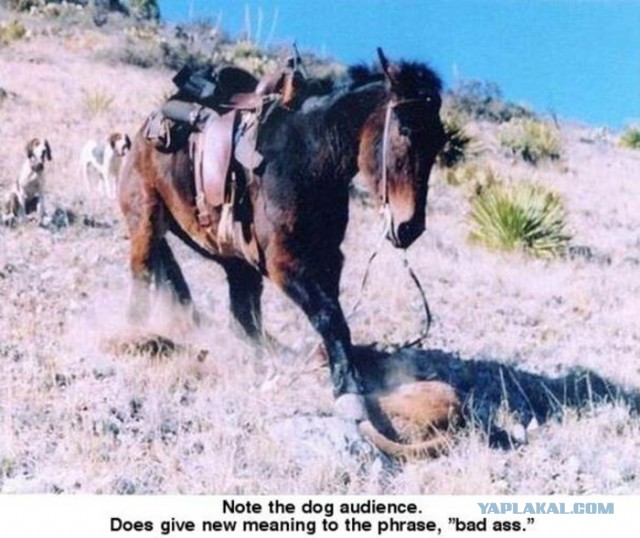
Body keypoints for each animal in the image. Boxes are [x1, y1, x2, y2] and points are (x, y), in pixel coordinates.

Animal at [118, 49, 445, 419]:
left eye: (439, 141)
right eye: (404, 130)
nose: (410, 227)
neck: (309, 159)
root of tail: (149, 123)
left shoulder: (329, 259)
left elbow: (333, 316)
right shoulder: (283, 264)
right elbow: (329, 316)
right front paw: (348, 386)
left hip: (237, 261)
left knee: (243, 320)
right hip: (146, 219)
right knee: (143, 274)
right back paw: (136, 333)